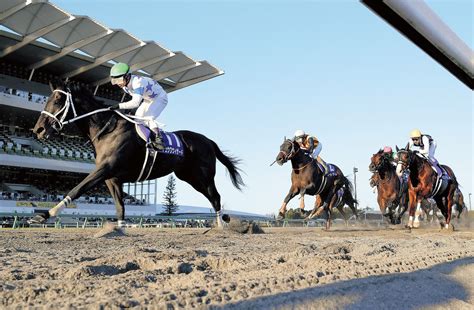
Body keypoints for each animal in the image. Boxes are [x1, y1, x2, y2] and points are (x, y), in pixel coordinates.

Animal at [30, 81, 244, 228]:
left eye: (58, 100)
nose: (38, 129)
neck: (107, 130)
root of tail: (208, 140)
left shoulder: (104, 170)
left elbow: (76, 189)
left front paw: (44, 215)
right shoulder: (112, 178)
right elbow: (119, 207)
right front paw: (119, 229)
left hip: (202, 176)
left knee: (215, 197)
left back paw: (221, 225)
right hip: (188, 176)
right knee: (213, 197)